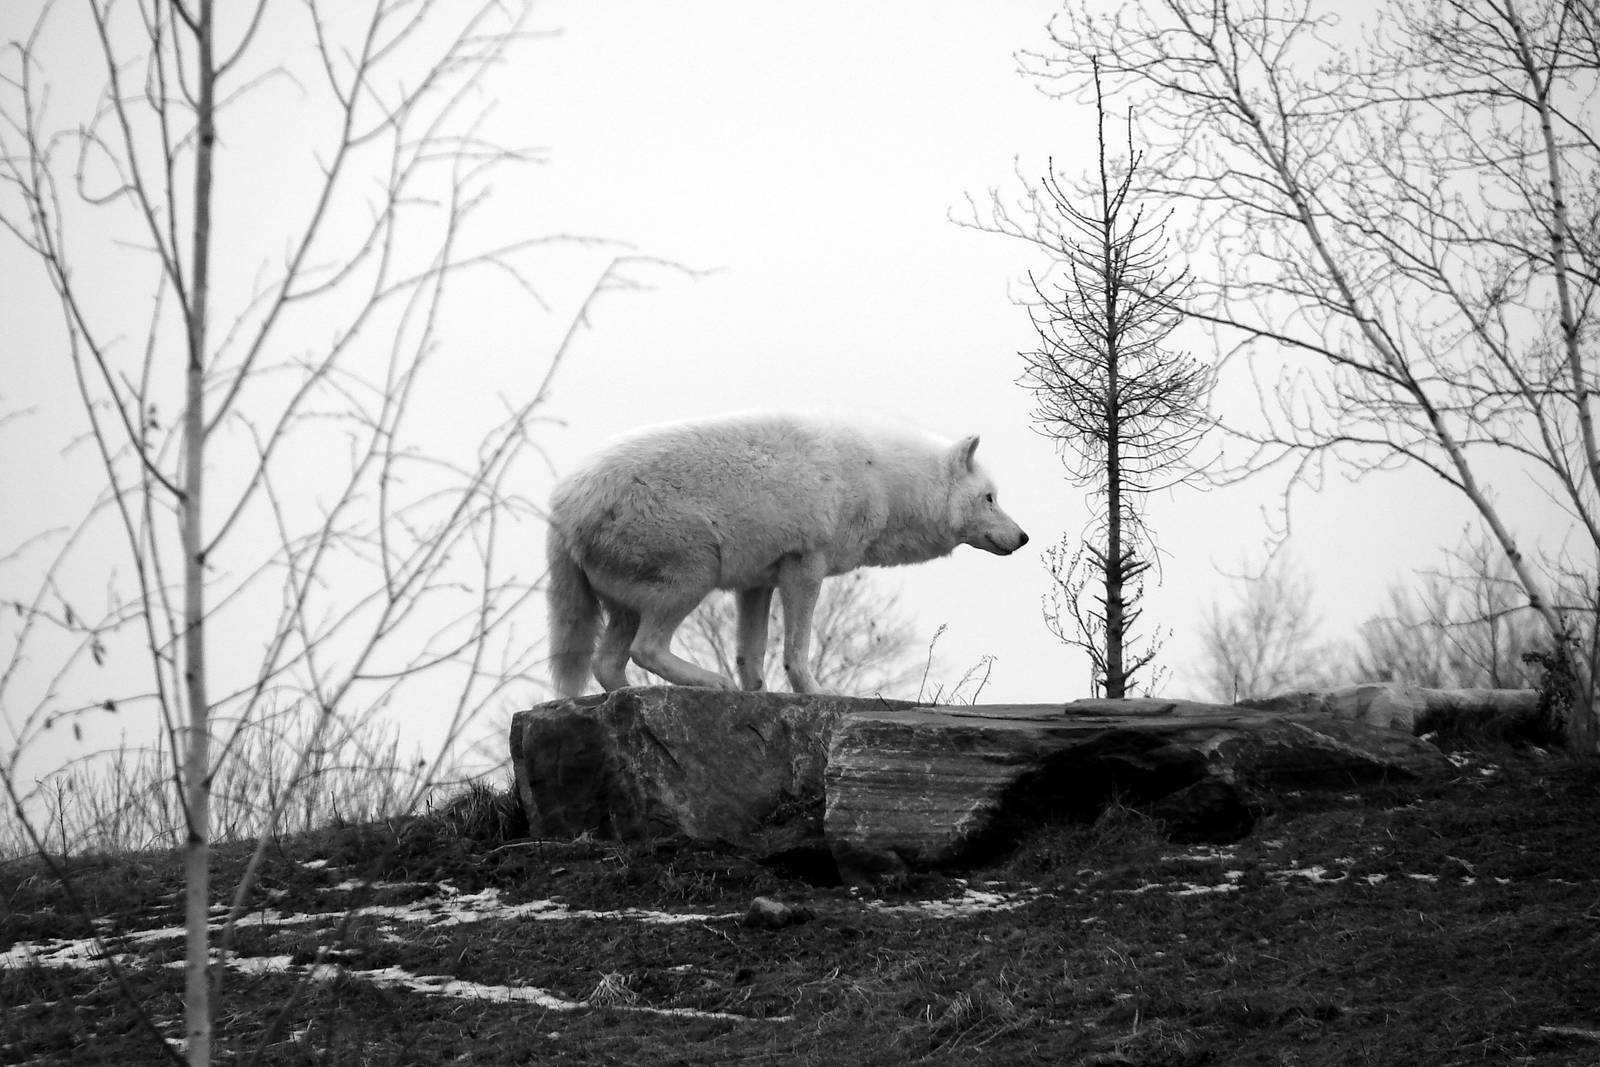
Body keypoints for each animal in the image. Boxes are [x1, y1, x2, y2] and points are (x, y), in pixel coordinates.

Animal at [544, 412, 1029, 697]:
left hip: (631, 605)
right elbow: (797, 648)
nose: (1023, 537)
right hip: (694, 577)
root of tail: (564, 503)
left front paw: (758, 696)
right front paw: (815, 693)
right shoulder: (805, 568)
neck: (885, 480)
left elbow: (752, 655)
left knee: (607, 664)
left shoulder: (756, 584)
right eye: (989, 499)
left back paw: (630, 696)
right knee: (645, 649)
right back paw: (711, 683)